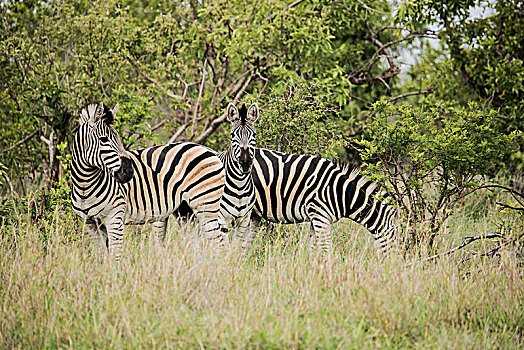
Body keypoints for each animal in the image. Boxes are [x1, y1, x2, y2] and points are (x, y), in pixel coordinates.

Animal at [70, 102, 226, 262]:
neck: (85, 185)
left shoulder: (114, 218)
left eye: (118, 138)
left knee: (217, 241)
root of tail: (209, 150)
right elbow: (102, 256)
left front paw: (116, 269)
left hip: (206, 204)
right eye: (103, 140)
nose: (129, 171)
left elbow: (116, 256)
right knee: (196, 242)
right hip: (185, 210)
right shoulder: (90, 224)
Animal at [216, 102, 258, 247]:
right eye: (232, 135)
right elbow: (224, 246)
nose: (245, 162)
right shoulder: (221, 217)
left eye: (254, 135)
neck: (240, 184)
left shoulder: (244, 219)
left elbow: (236, 246)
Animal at [248, 149, 400, 258]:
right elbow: (326, 249)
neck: (341, 192)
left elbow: (312, 247)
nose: (393, 266)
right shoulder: (320, 215)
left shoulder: (316, 218)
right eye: (397, 240)